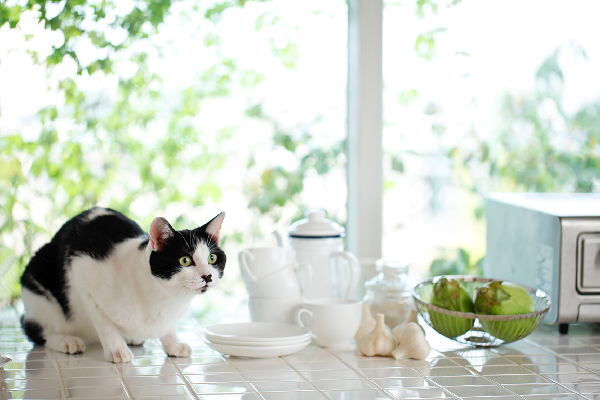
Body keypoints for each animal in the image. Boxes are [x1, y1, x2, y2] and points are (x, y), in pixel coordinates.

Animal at [19, 208, 225, 364]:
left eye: (212, 258)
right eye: (185, 260)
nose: (207, 276)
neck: (166, 298)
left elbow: (168, 328)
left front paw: (172, 344)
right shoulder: (81, 270)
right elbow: (104, 323)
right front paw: (117, 350)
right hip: (39, 291)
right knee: (34, 330)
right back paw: (66, 340)